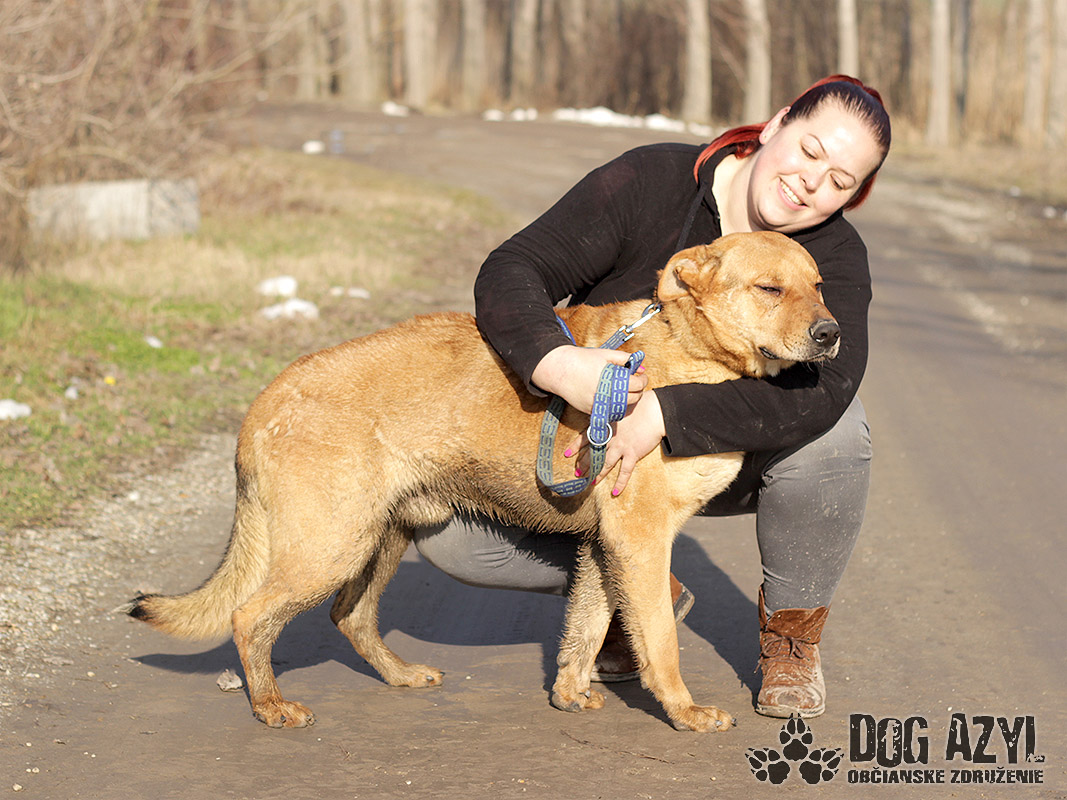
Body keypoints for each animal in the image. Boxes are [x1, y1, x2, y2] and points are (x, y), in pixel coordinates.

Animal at [125, 230, 840, 732]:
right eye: (770, 289)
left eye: (819, 285)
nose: (832, 334)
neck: (688, 352)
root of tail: (265, 401)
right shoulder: (638, 540)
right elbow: (659, 639)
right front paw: (685, 712)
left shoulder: (602, 547)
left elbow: (584, 629)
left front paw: (570, 695)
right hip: (333, 544)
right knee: (250, 616)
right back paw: (271, 706)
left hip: (383, 537)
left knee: (350, 616)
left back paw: (400, 676)